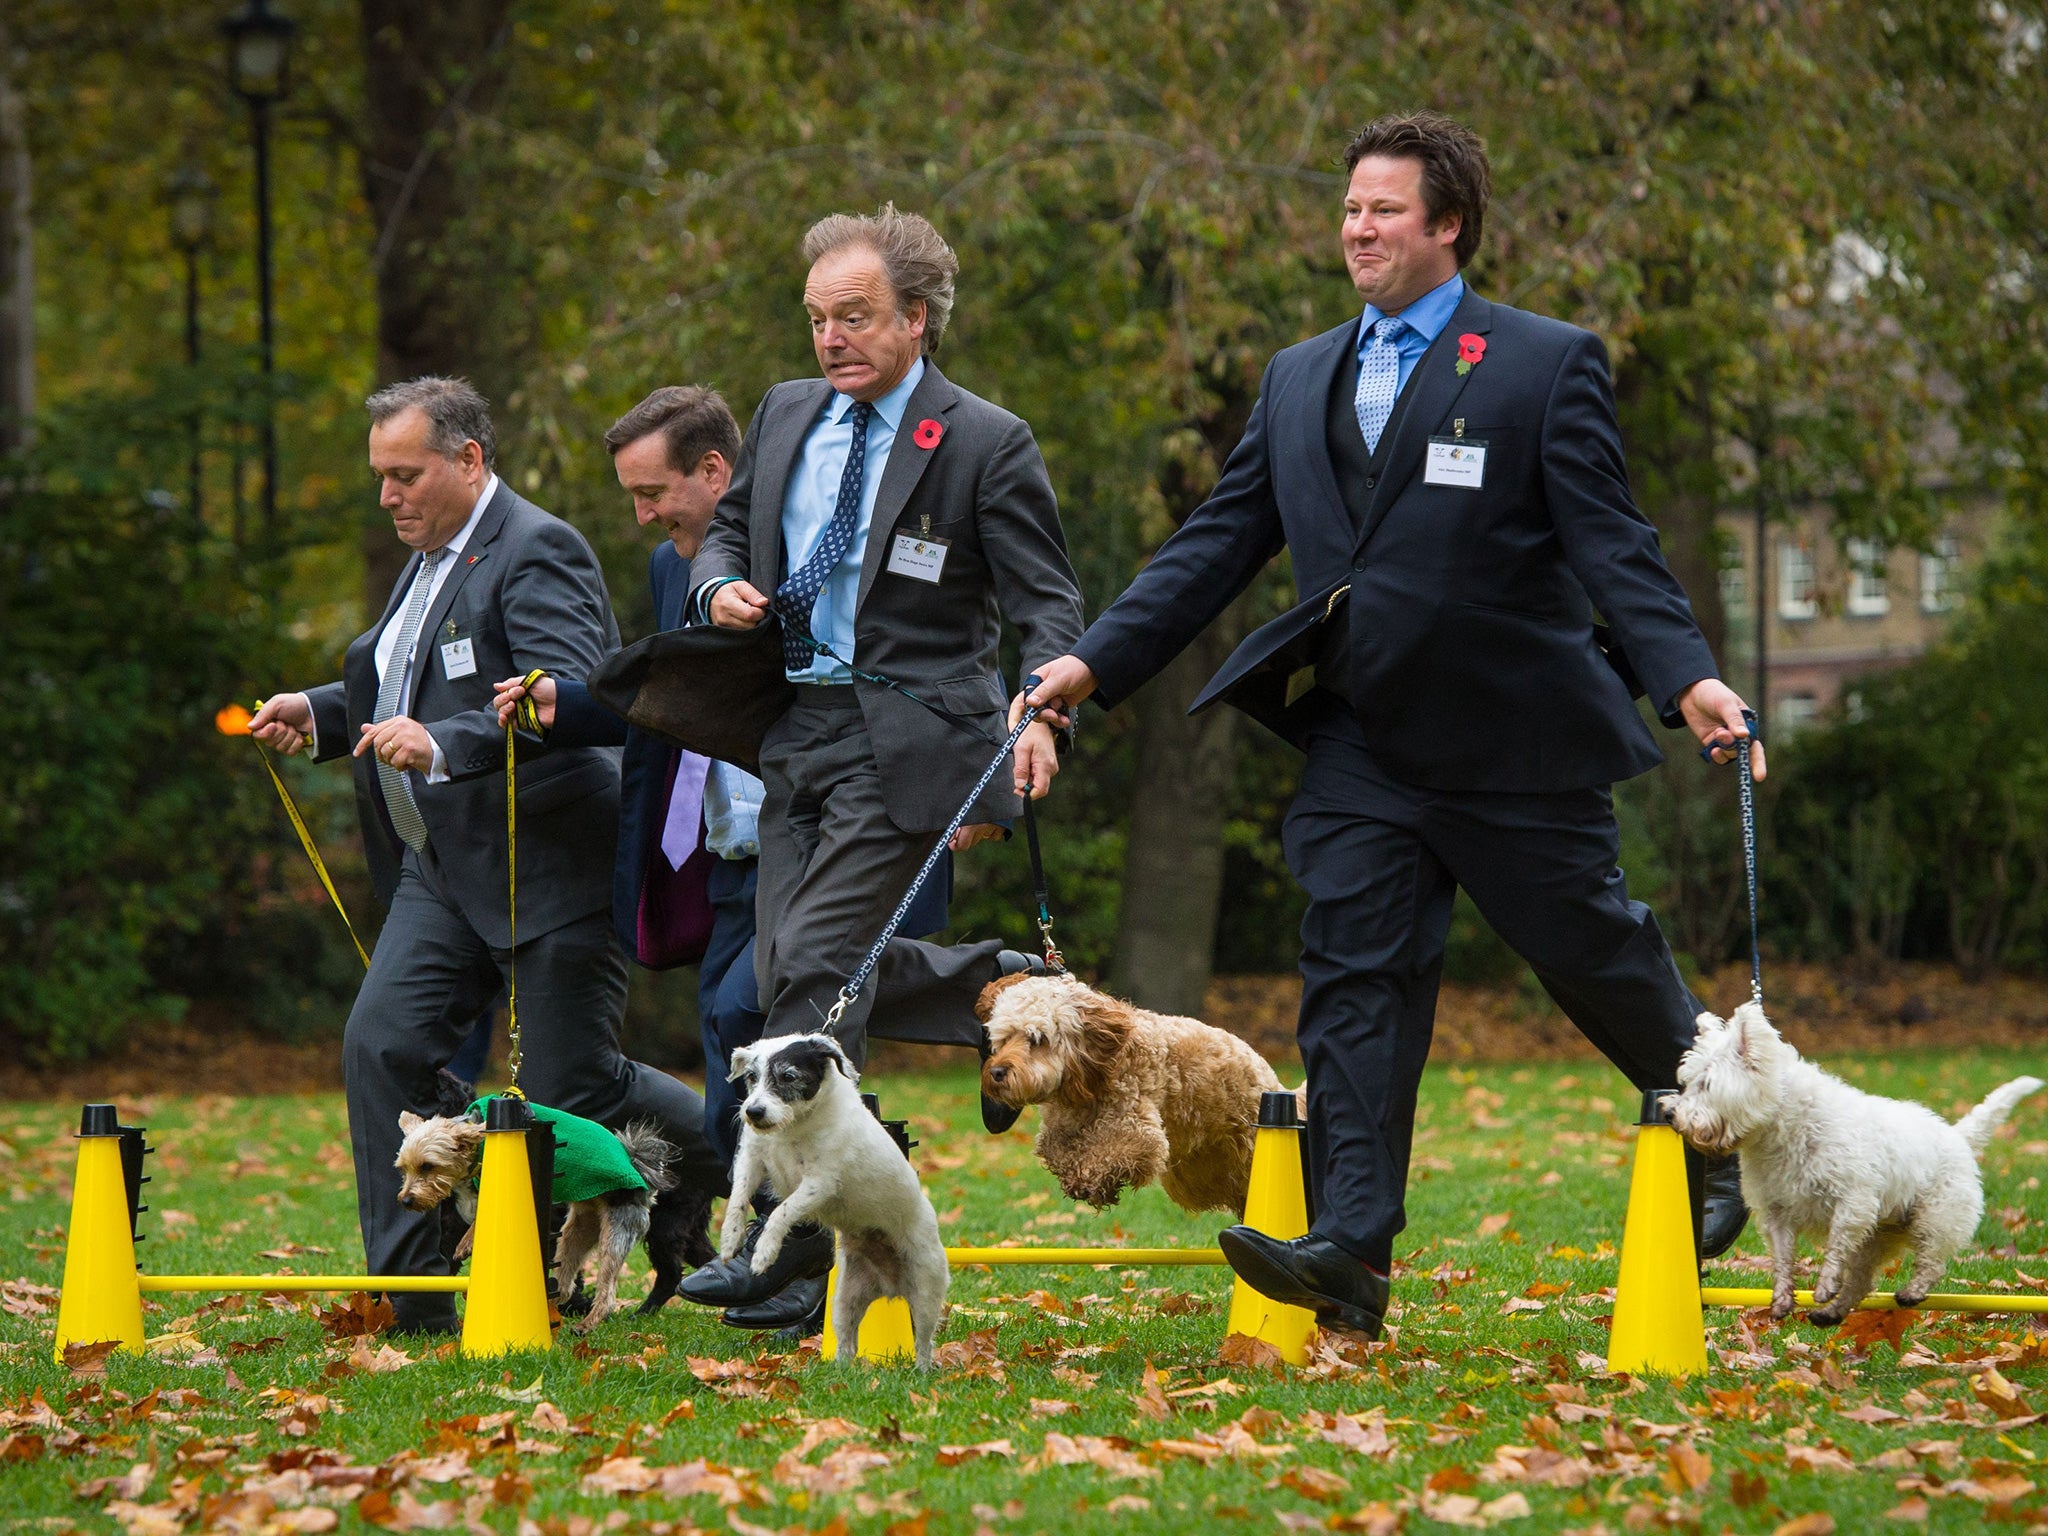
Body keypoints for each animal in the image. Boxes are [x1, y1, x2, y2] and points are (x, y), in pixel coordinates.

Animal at [970, 978, 1294, 1220]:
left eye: (1037, 1039)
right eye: (1002, 1038)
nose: (997, 1072)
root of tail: (1267, 1072)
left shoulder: (1137, 1128)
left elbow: (1112, 1151)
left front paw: (1092, 1180)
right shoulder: (1059, 1127)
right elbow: (1055, 1149)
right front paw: (1081, 1178)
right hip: (1199, 1173)